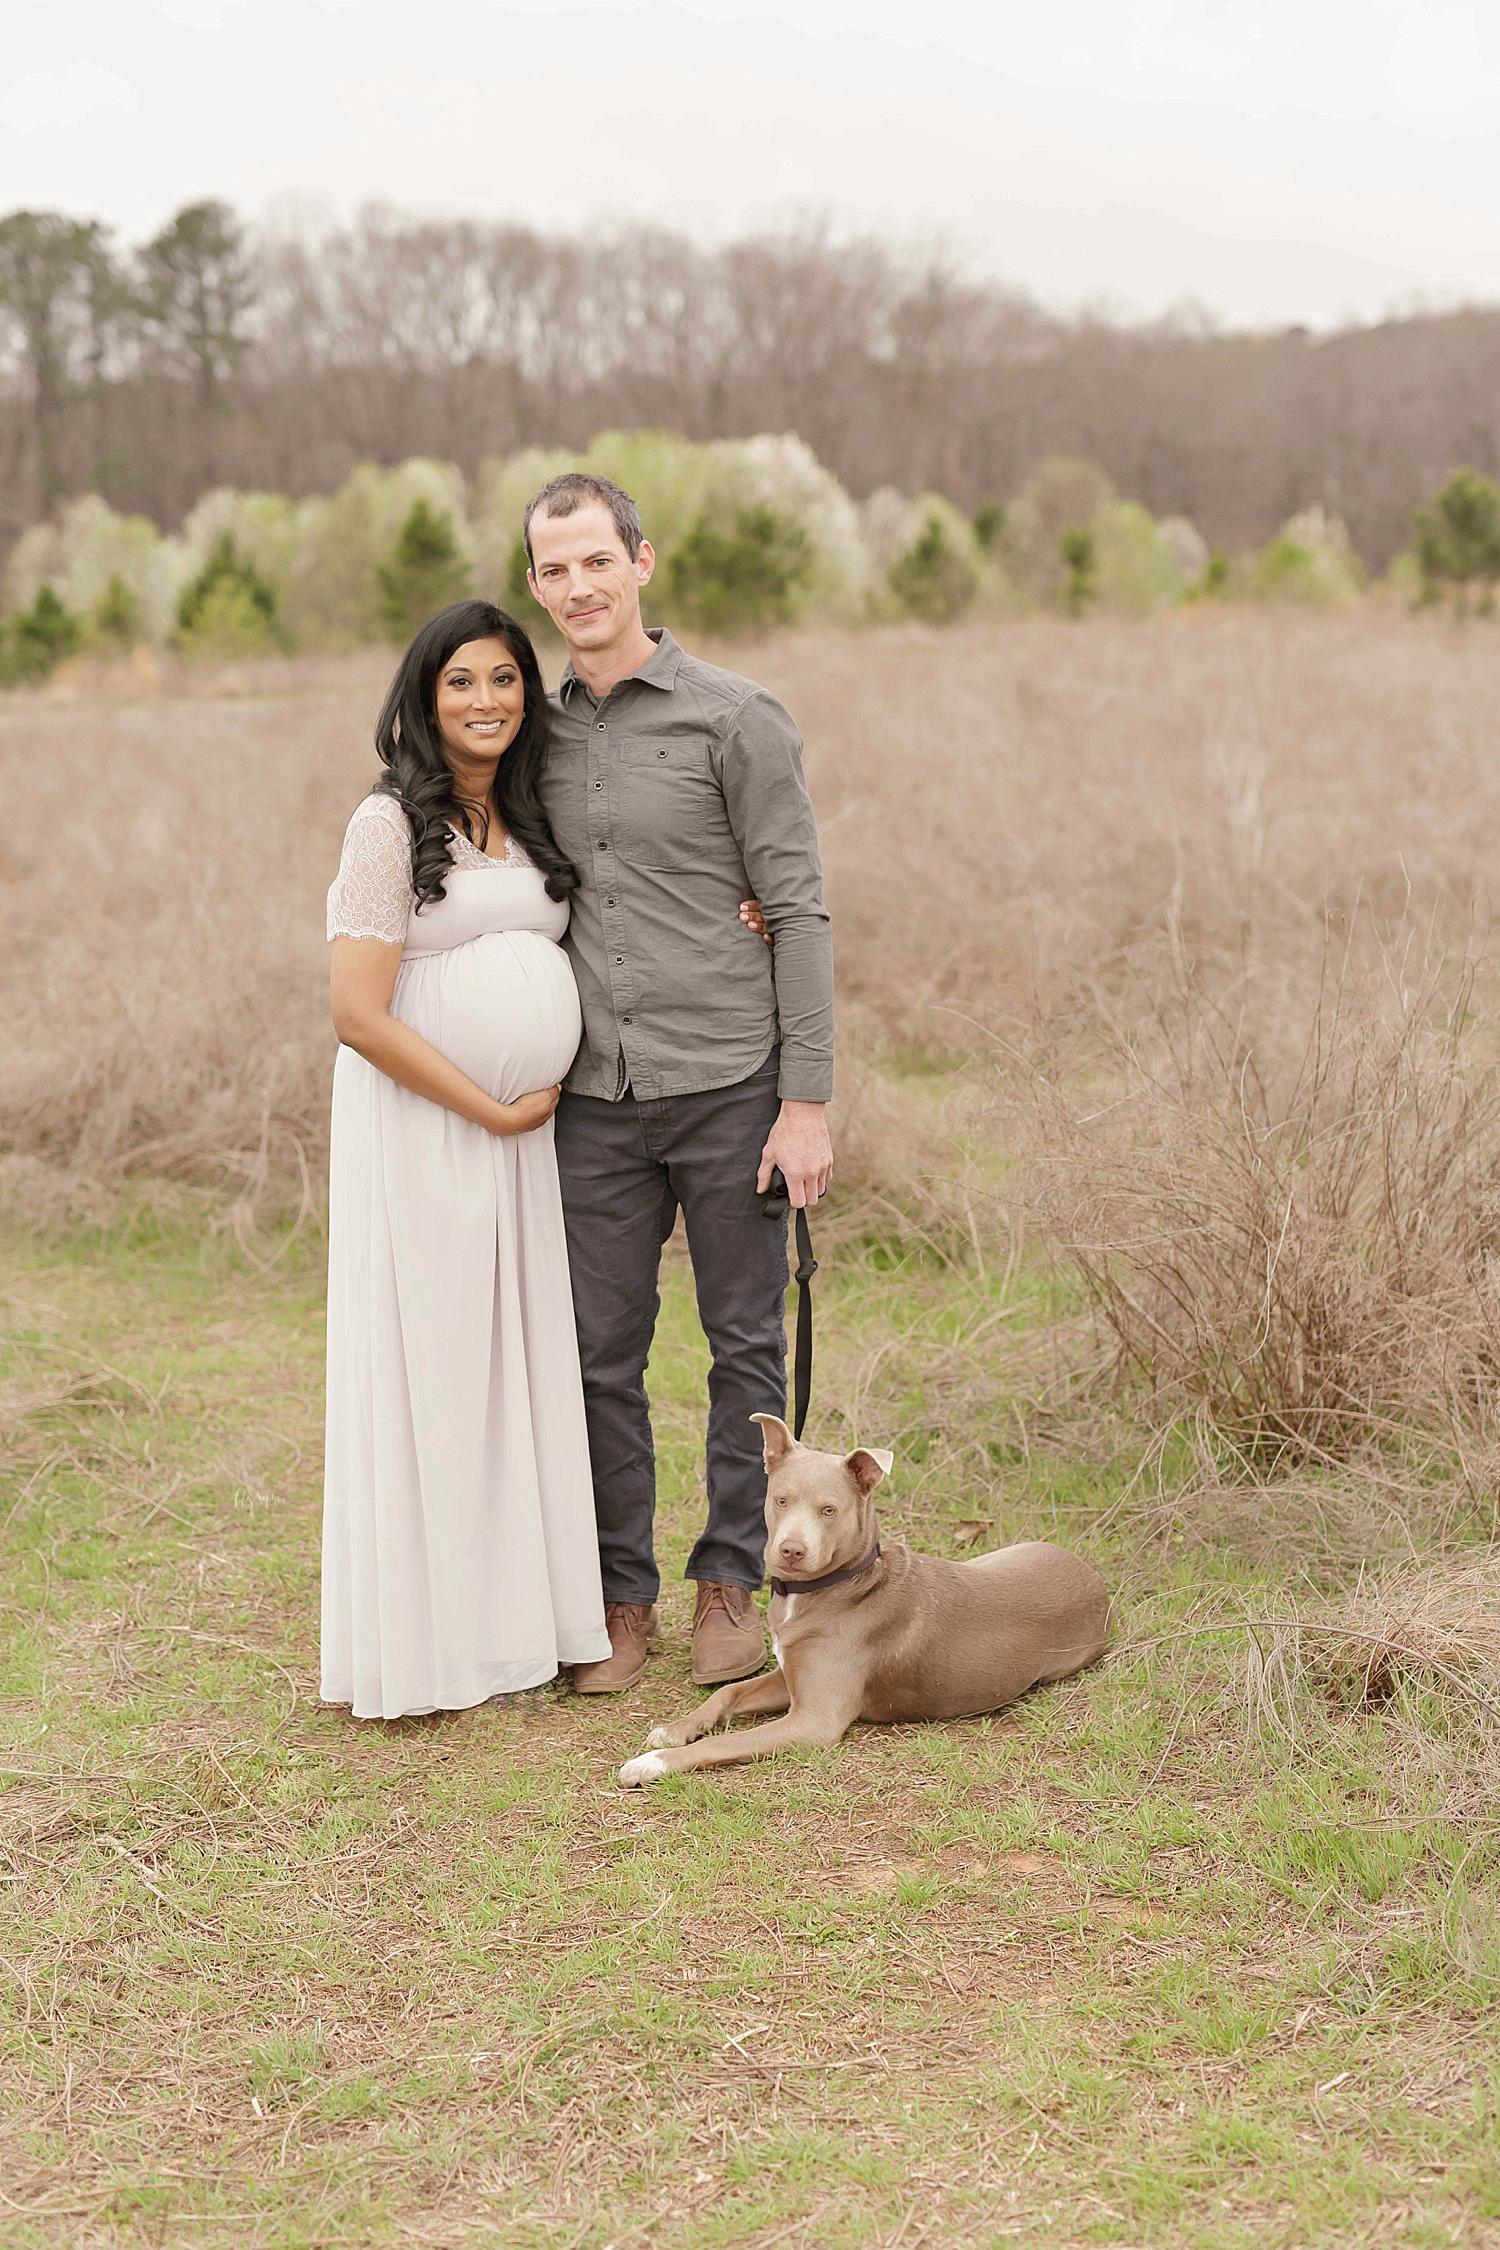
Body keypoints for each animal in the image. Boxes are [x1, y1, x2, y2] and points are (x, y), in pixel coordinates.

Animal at [616, 1404, 1110, 1791]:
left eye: (829, 1510)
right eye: (780, 1500)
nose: (791, 1550)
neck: (833, 1587)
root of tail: (1092, 1576)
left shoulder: (814, 1720)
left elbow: (725, 1741)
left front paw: (651, 1764)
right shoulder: (790, 1675)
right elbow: (728, 1691)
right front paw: (675, 1730)